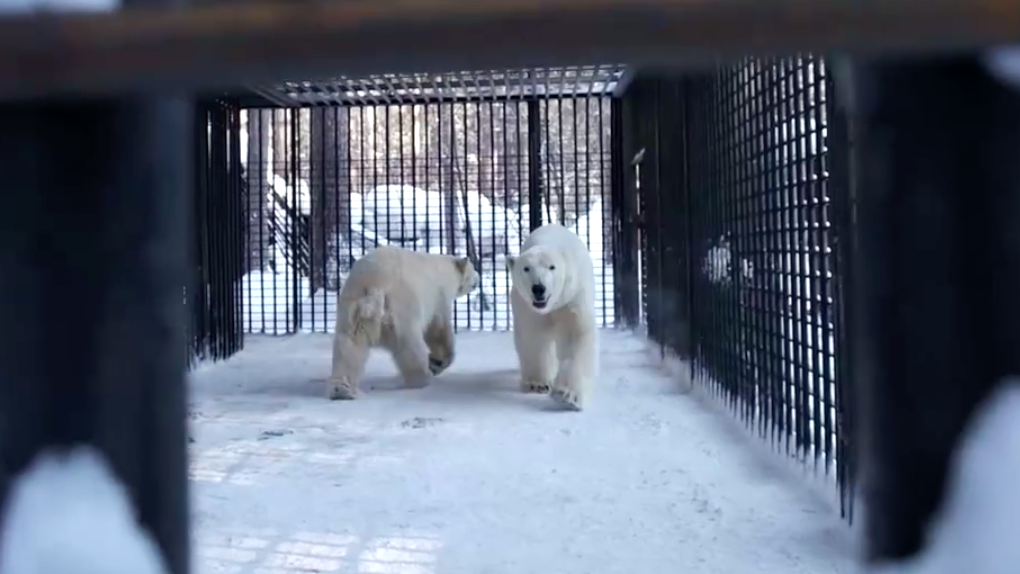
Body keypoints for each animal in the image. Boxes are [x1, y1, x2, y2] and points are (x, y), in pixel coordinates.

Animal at [326, 245, 477, 399]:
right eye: (473, 268)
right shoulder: (438, 295)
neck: (444, 269)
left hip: (353, 305)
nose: (478, 278)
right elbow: (438, 329)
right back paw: (423, 378)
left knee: (349, 344)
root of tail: (376, 285)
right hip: (401, 310)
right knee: (410, 347)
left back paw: (342, 390)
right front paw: (439, 362)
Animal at [503, 222, 595, 411]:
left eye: (552, 267)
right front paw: (537, 384)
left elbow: (575, 335)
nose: (538, 288)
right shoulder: (527, 306)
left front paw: (568, 395)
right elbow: (534, 337)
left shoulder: (573, 297)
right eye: (526, 268)